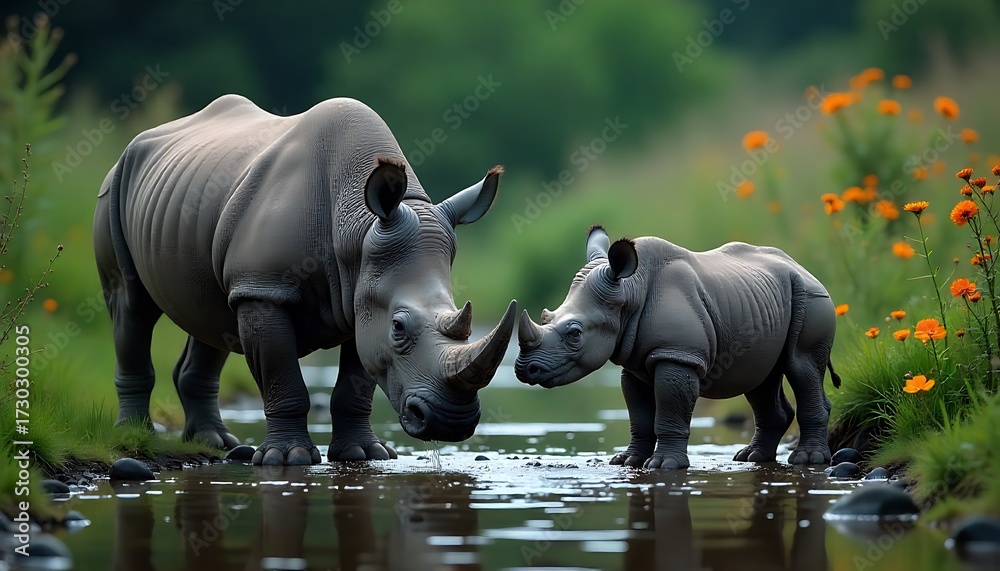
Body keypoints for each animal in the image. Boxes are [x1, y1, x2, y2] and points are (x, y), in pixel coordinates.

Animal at [94, 94, 516, 465]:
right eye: (398, 326)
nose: (451, 422)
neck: (357, 228)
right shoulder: (264, 289)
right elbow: (283, 378)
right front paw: (287, 459)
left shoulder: (360, 293)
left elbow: (356, 383)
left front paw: (364, 454)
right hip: (114, 186)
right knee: (132, 303)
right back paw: (136, 435)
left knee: (210, 314)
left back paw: (215, 442)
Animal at [514, 226, 840, 469]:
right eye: (546, 317)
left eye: (574, 333)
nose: (524, 370)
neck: (629, 291)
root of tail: (805, 270)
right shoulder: (634, 363)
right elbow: (639, 414)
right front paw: (627, 461)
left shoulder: (677, 355)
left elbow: (670, 409)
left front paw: (664, 466)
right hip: (763, 303)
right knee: (761, 378)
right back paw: (752, 458)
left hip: (811, 298)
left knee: (801, 366)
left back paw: (807, 460)